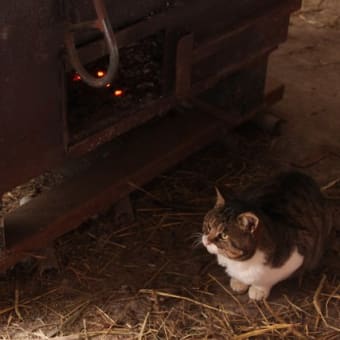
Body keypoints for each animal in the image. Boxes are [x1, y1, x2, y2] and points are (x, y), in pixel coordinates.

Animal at [202, 171, 332, 298]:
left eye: (224, 235)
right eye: (209, 226)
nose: (207, 240)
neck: (238, 262)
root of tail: (302, 175)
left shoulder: (297, 255)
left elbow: (267, 279)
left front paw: (258, 290)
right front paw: (238, 281)